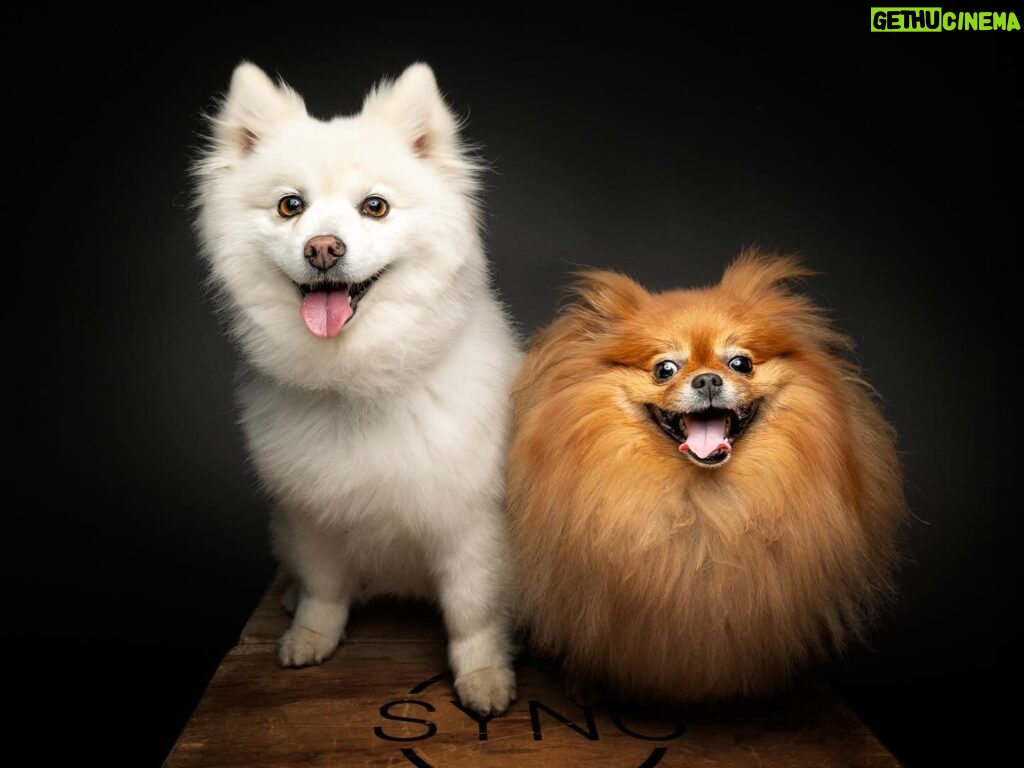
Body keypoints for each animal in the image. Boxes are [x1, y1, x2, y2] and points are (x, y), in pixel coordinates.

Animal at [194, 64, 520, 716]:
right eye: (290, 206)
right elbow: (325, 589)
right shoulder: (310, 513)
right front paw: (310, 637)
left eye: (375, 207)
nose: (323, 248)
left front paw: (483, 679)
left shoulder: (470, 522)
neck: (357, 381)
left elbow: (471, 611)